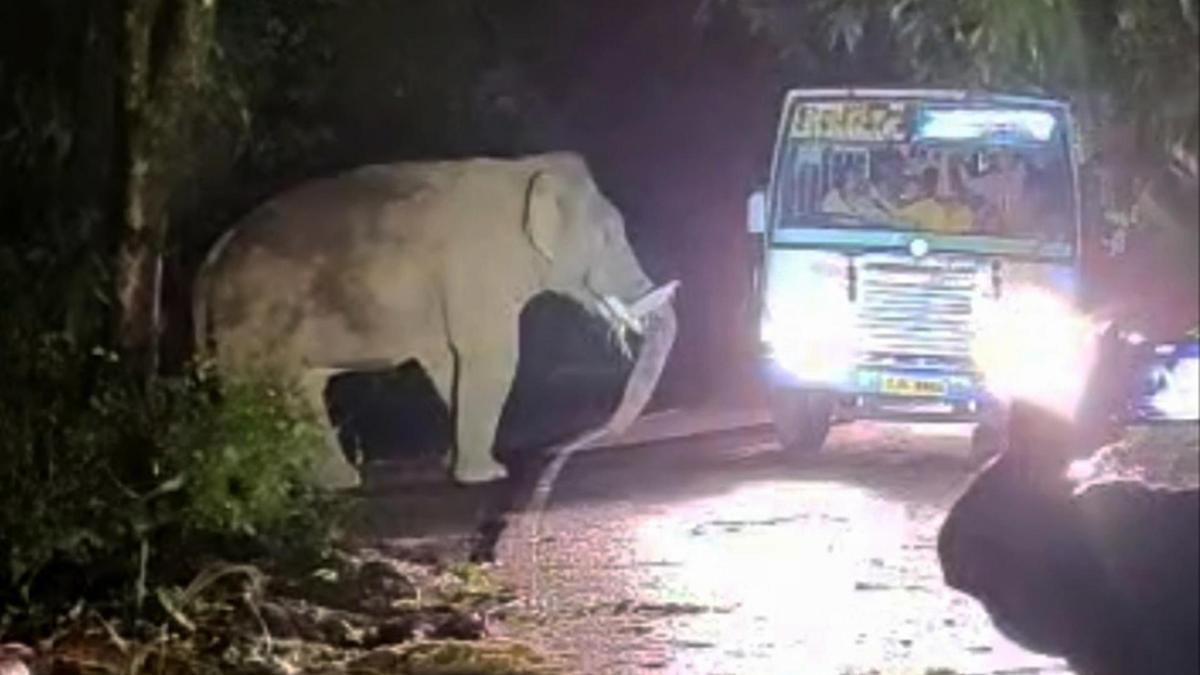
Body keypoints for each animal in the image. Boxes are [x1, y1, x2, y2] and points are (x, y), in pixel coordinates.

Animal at [193, 152, 678, 488]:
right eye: (610, 237)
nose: (602, 434)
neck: (525, 170)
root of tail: (214, 254)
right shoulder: (476, 268)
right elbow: (492, 358)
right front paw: (491, 476)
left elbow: (449, 366)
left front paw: (461, 465)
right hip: (249, 319)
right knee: (252, 390)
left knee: (302, 388)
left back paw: (333, 483)